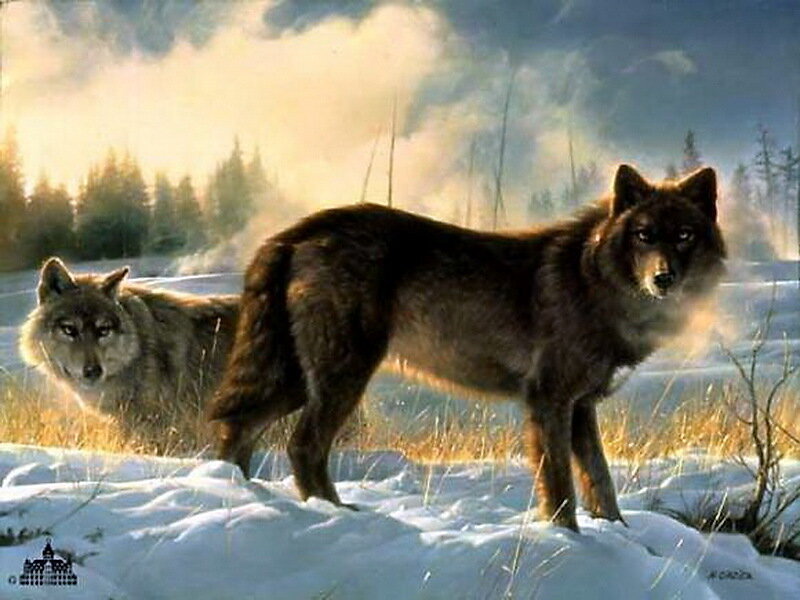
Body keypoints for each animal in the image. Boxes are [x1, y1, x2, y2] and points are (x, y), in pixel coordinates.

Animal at [209, 164, 725, 531]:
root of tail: (298, 230)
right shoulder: (549, 400)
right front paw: (569, 539)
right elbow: (561, 484)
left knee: (238, 429)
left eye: (684, 235)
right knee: (302, 445)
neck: (594, 281)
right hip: (341, 377)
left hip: (296, 381)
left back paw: (235, 496)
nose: (663, 278)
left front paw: (623, 539)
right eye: (644, 235)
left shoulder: (581, 407)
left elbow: (600, 482)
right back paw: (338, 514)